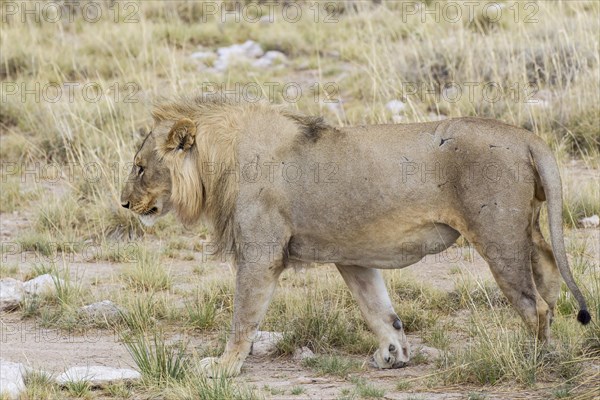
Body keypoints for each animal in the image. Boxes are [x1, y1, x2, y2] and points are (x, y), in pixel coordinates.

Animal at [119, 95, 588, 376]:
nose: (123, 203)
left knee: (534, 306)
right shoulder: (352, 256)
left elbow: (243, 318)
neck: (219, 164)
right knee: (549, 279)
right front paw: (393, 355)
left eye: (140, 168)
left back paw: (532, 360)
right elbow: (379, 311)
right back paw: (556, 349)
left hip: (497, 234)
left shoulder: (260, 253)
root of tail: (525, 136)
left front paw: (223, 366)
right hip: (527, 229)